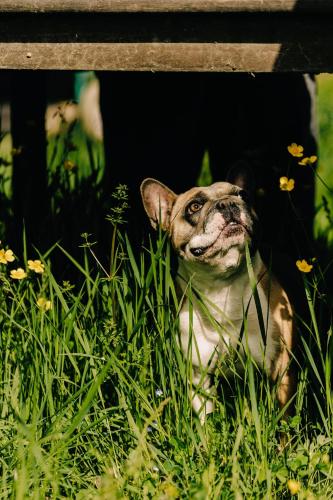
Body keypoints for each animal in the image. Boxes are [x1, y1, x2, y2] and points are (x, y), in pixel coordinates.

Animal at [139, 178, 294, 420]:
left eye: (243, 195)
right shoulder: (198, 377)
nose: (228, 204)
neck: (223, 287)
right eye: (194, 206)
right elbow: (205, 419)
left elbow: (284, 419)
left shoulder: (280, 371)